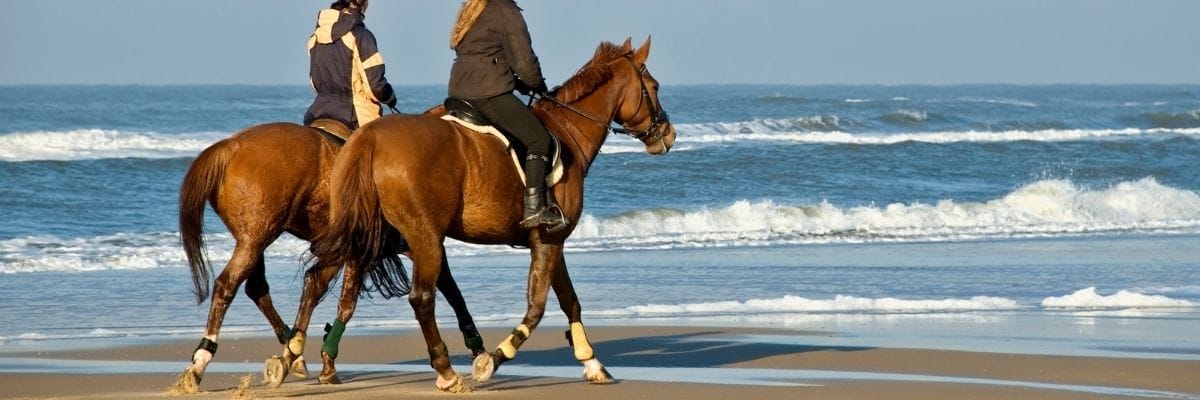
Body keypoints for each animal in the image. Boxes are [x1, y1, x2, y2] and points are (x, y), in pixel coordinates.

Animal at [173, 121, 487, 393]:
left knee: (255, 287)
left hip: (253, 238)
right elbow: (446, 289)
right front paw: (476, 347)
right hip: (256, 237)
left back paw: (291, 352)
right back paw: (201, 361)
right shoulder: (415, 243)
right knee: (228, 285)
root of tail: (231, 146)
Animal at [308, 37, 675, 392]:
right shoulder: (549, 239)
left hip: (376, 234)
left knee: (340, 284)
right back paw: (446, 372)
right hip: (423, 238)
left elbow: (570, 300)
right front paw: (493, 360)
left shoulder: (551, 241)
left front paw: (592, 363)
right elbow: (537, 307)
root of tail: (372, 136)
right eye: (654, 86)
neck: (568, 130)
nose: (668, 134)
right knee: (421, 297)